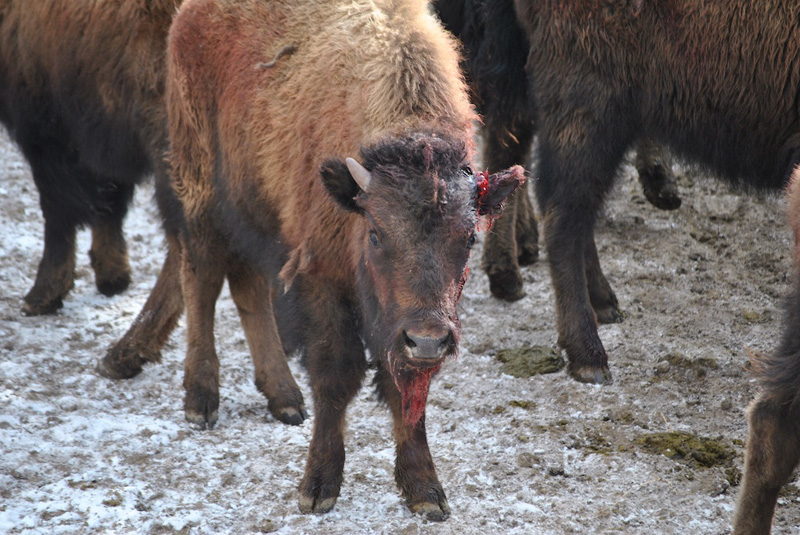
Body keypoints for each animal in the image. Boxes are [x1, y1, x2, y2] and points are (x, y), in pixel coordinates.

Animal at [104, 0, 524, 520]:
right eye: (376, 234)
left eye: (468, 238)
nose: (428, 340)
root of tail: (188, 17)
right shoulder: (321, 278)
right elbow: (336, 374)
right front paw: (318, 486)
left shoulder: (398, 323)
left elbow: (407, 388)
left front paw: (425, 489)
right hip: (200, 186)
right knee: (201, 275)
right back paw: (201, 398)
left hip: (257, 208)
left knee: (246, 285)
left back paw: (283, 397)